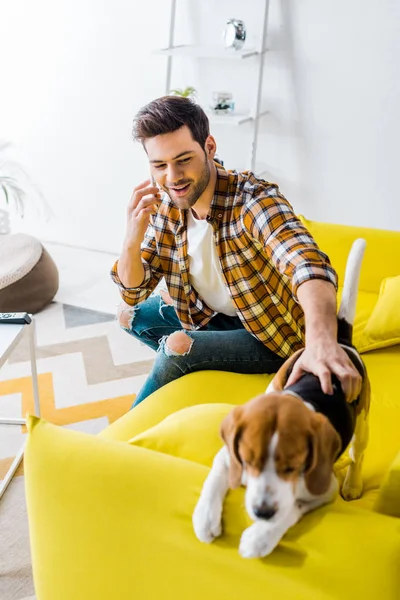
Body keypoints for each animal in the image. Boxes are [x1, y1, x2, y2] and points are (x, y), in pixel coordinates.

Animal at [192, 238, 370, 556]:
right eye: (249, 460)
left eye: (292, 467)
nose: (262, 512)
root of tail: (340, 343)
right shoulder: (227, 454)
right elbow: (215, 477)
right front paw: (205, 517)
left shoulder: (323, 489)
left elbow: (292, 507)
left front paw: (260, 538)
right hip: (275, 383)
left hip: (362, 425)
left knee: (356, 454)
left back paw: (353, 484)